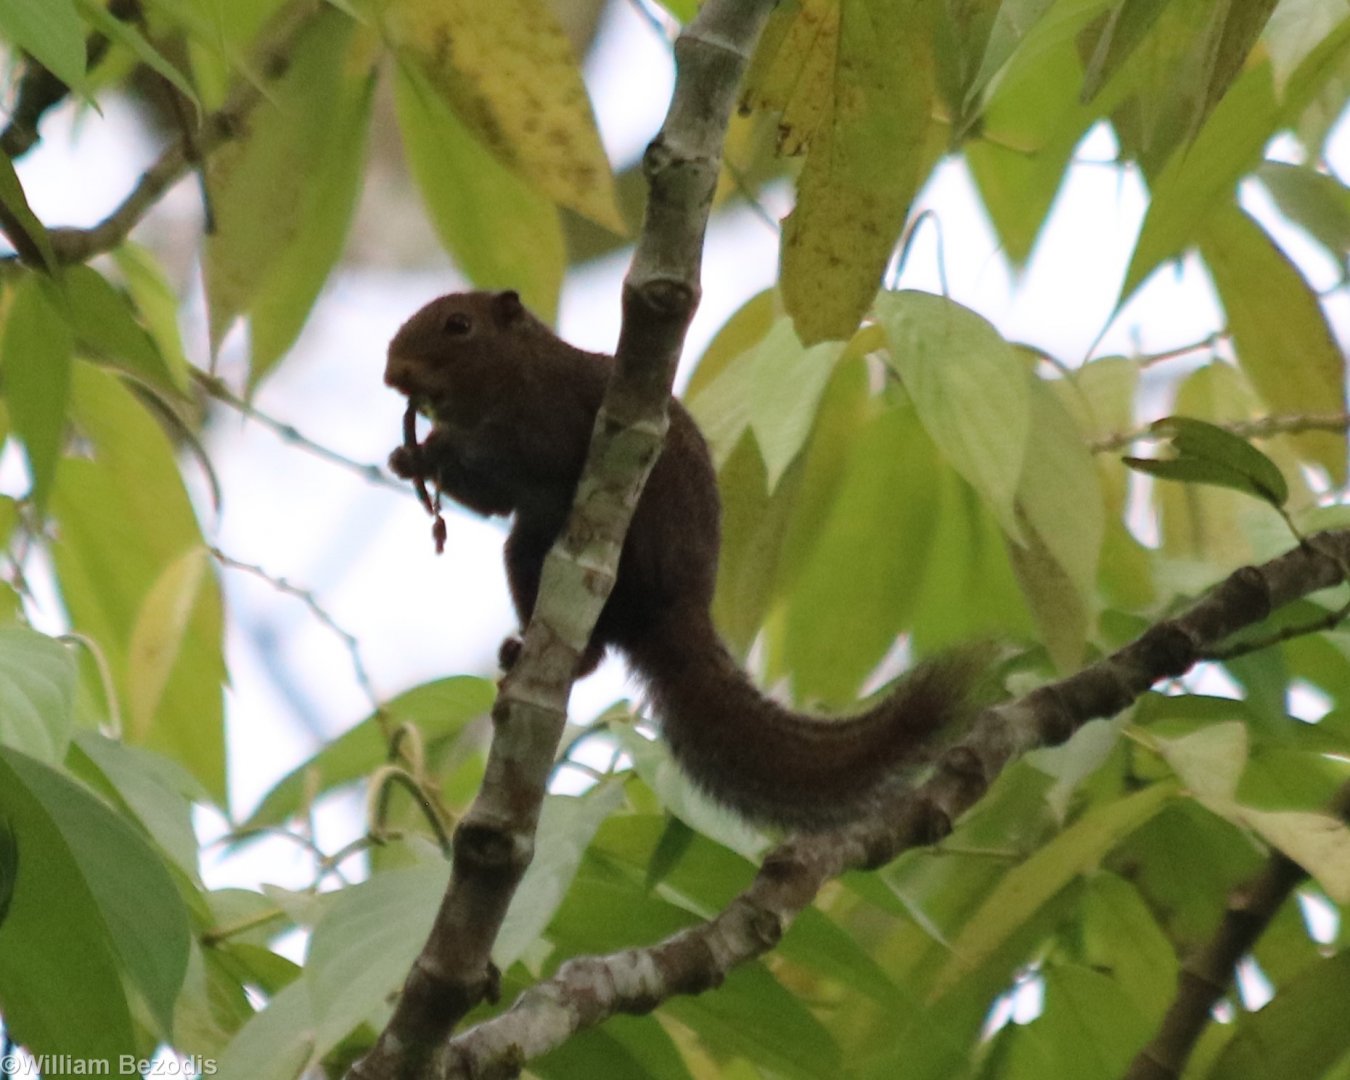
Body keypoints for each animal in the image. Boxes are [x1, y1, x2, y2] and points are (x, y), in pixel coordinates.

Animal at [384, 289, 974, 830]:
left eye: (458, 325)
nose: (393, 374)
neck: (513, 373)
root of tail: (680, 609)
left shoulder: (551, 413)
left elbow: (532, 459)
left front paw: (435, 449)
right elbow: (492, 498)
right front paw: (410, 456)